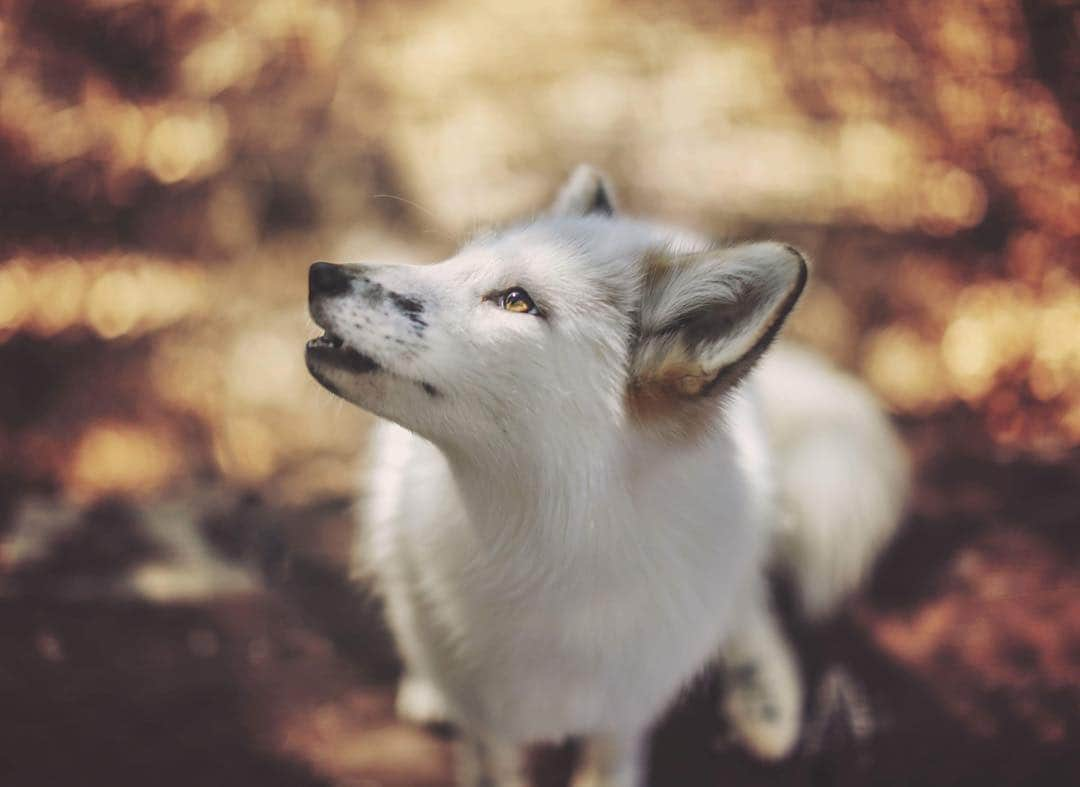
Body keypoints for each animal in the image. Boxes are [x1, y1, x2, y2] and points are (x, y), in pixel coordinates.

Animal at [306, 166, 911, 785]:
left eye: (516, 301)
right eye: (454, 259)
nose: (322, 273)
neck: (546, 551)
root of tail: (653, 223)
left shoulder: (625, 711)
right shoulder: (489, 719)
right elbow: (490, 761)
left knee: (748, 596)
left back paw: (763, 697)